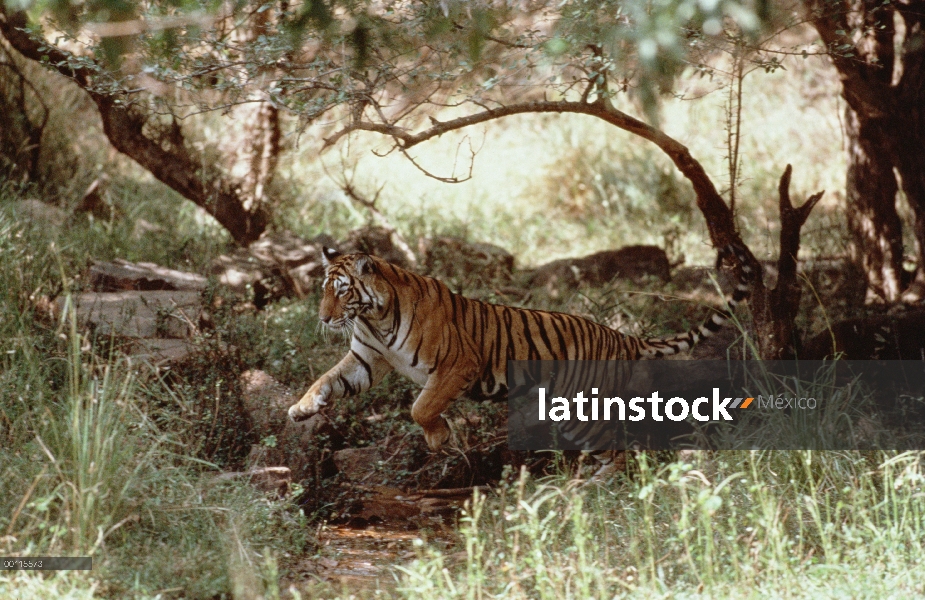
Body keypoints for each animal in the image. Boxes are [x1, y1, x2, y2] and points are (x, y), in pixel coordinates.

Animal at [288, 246, 752, 472]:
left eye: (342, 290)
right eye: (324, 289)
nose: (323, 318)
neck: (375, 316)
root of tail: (621, 337)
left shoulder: (458, 364)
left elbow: (421, 407)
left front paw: (438, 439)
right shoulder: (367, 359)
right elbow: (326, 379)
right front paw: (301, 409)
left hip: (581, 413)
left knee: (619, 452)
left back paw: (593, 492)